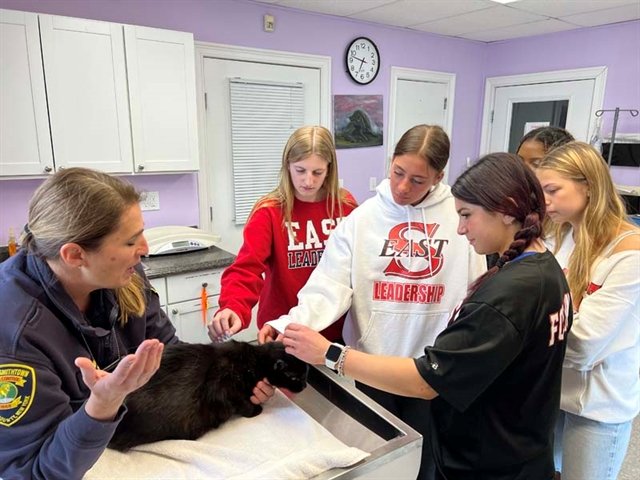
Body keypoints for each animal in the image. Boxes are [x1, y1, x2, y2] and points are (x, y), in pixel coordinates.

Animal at [109, 342, 308, 450]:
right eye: (295, 377)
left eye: (306, 374)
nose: (305, 385)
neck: (256, 360)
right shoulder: (223, 385)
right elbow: (241, 402)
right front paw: (254, 410)